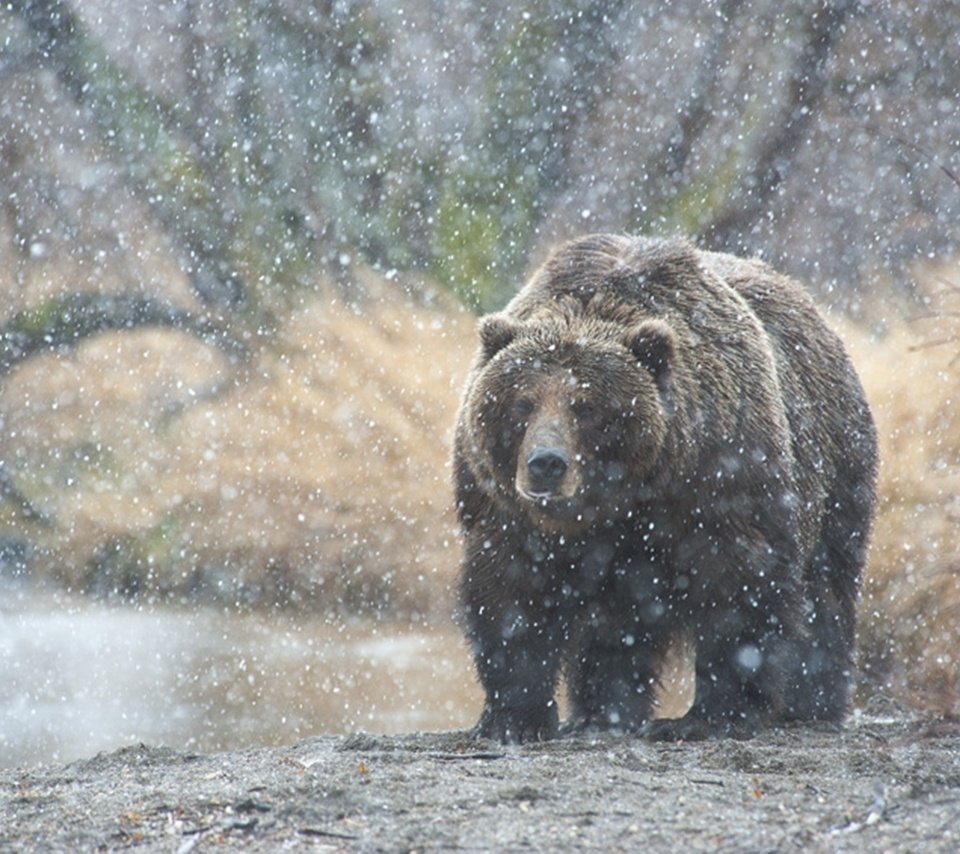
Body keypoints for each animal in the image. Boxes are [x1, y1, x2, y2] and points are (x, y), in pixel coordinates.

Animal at [454, 234, 880, 744]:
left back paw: (812, 703)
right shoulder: (505, 509)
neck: (621, 498)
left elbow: (738, 586)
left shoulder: (719, 475)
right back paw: (600, 712)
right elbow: (511, 593)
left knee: (826, 588)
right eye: (522, 402)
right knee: (617, 623)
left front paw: (711, 715)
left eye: (586, 406)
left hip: (835, 466)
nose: (546, 464)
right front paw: (515, 718)